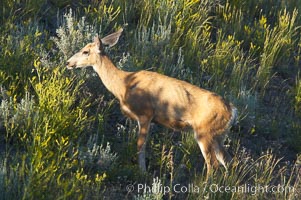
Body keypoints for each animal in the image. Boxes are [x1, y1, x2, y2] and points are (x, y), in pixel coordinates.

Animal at [65, 28, 237, 178]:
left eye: (85, 51)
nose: (68, 62)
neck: (124, 84)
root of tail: (232, 110)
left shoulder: (145, 113)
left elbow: (140, 145)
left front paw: (142, 172)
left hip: (205, 132)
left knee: (213, 165)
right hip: (218, 135)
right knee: (228, 161)